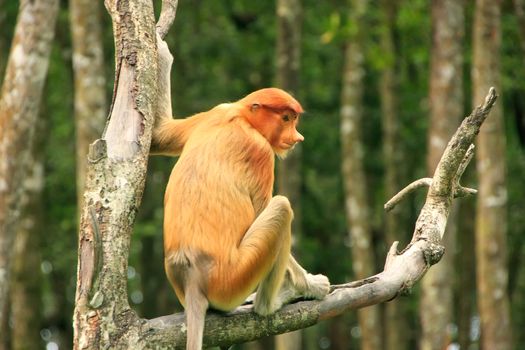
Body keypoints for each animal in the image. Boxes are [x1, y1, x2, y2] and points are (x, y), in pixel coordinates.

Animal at [150, 37, 328, 348]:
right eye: (286, 118)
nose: (297, 138)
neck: (242, 118)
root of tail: (191, 275)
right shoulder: (261, 151)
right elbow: (262, 208)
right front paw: (311, 285)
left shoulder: (217, 110)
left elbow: (161, 135)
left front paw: (161, 52)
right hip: (233, 278)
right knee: (281, 207)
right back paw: (271, 302)